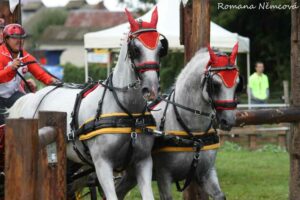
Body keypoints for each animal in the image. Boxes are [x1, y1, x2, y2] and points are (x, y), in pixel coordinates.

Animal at [9, 7, 169, 200]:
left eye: (161, 49)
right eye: (135, 49)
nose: (151, 89)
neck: (127, 112)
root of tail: (32, 97)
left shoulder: (143, 161)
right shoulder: (102, 164)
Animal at [116, 44, 243, 200]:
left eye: (238, 84)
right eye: (215, 84)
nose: (228, 120)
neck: (193, 132)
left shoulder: (207, 173)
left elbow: (219, 195)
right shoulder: (164, 175)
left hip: (132, 173)